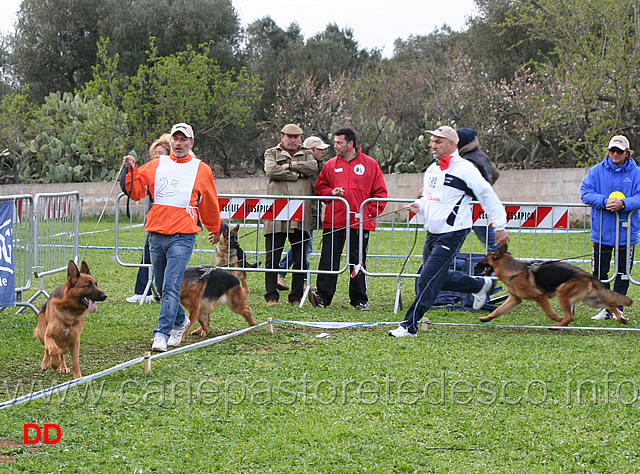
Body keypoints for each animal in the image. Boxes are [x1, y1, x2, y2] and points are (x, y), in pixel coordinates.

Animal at [476, 244, 632, 326]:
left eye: (485, 258)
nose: (476, 264)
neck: (514, 271)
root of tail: (589, 275)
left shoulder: (540, 297)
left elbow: (550, 313)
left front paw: (557, 318)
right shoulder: (515, 299)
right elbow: (498, 311)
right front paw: (486, 318)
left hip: (563, 294)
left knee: (570, 317)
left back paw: (557, 325)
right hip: (591, 301)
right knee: (610, 305)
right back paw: (621, 319)